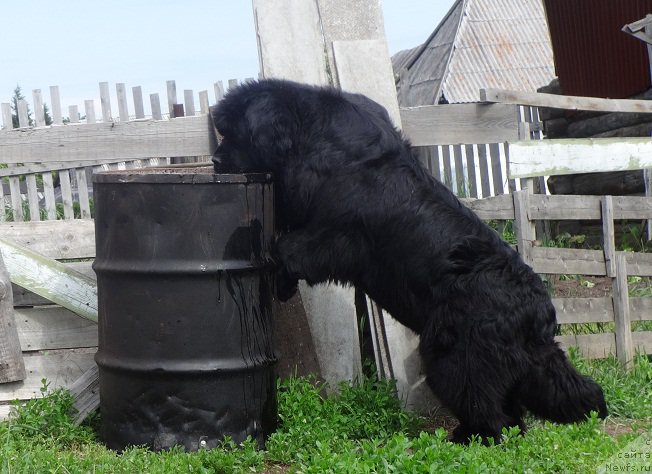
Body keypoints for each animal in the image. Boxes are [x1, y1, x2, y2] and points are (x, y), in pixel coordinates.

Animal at [211, 78, 608, 444]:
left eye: (233, 135)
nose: (215, 161)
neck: (313, 139)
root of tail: (537, 313)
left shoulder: (335, 238)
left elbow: (290, 250)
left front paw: (281, 283)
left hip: (454, 357)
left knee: (487, 408)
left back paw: (469, 438)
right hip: (517, 363)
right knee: (523, 405)